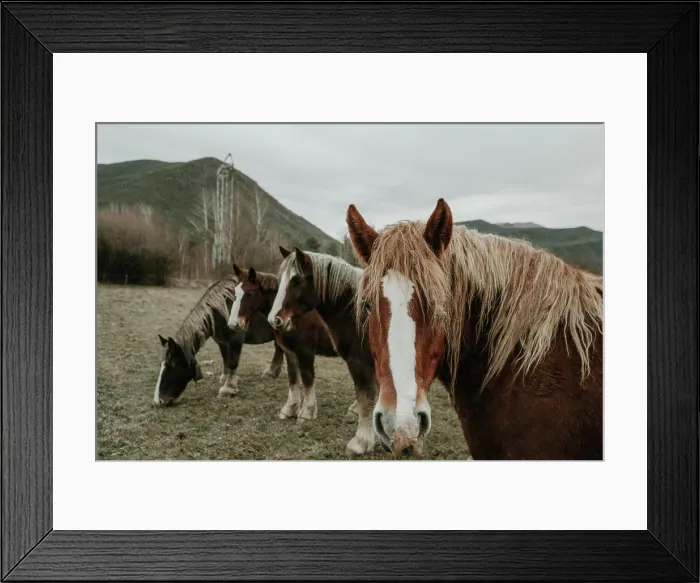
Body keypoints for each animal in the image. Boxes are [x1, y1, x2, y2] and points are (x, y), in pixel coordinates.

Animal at [153, 272, 285, 406]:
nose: (158, 400)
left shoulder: (235, 339)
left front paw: (228, 388)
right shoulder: (222, 342)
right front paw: (226, 379)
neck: (222, 310)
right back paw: (272, 373)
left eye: (173, 364)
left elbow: (232, 362)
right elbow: (225, 359)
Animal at [226, 263, 342, 426]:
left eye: (249, 293)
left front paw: (307, 413)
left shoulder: (305, 351)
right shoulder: (289, 351)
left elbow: (307, 378)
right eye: (235, 292)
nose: (233, 324)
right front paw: (289, 409)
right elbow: (293, 377)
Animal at [266, 246, 378, 455]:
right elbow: (295, 379)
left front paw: (361, 442)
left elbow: (365, 397)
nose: (274, 320)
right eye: (280, 279)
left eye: (297, 280)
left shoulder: (357, 361)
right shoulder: (292, 353)